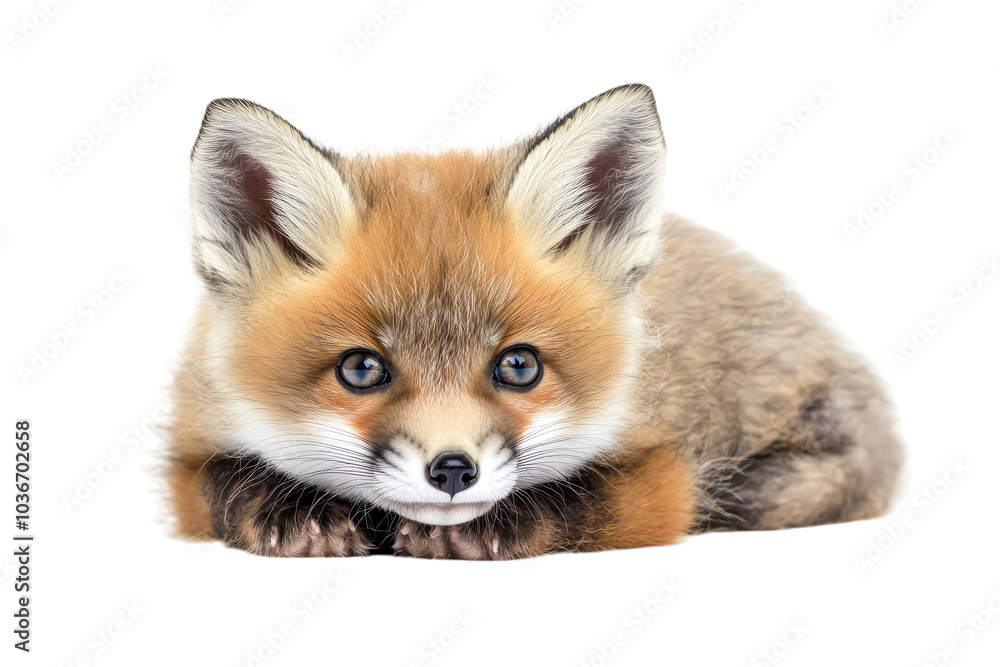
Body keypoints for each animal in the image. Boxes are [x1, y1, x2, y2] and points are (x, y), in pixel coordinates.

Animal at [164, 84, 902, 559]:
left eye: (518, 366)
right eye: (362, 369)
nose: (452, 471)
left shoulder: (661, 475)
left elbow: (582, 496)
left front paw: (492, 526)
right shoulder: (189, 451)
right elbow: (222, 482)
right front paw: (296, 513)